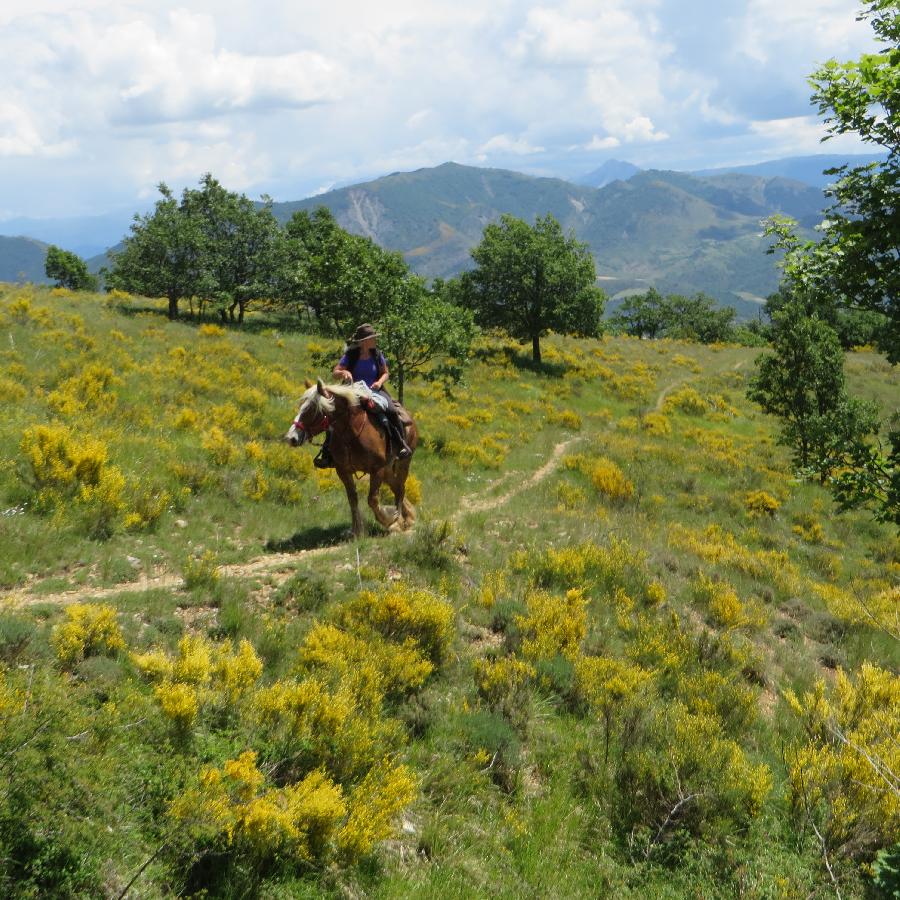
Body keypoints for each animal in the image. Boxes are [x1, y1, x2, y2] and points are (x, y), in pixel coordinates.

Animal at [284, 378, 418, 536]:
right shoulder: (343, 470)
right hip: (388, 469)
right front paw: (356, 531)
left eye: (313, 410)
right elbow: (352, 499)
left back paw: (400, 522)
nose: (291, 438)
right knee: (396, 487)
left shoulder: (377, 469)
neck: (351, 434)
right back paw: (406, 518)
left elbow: (372, 500)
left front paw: (390, 521)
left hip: (403, 462)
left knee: (400, 489)